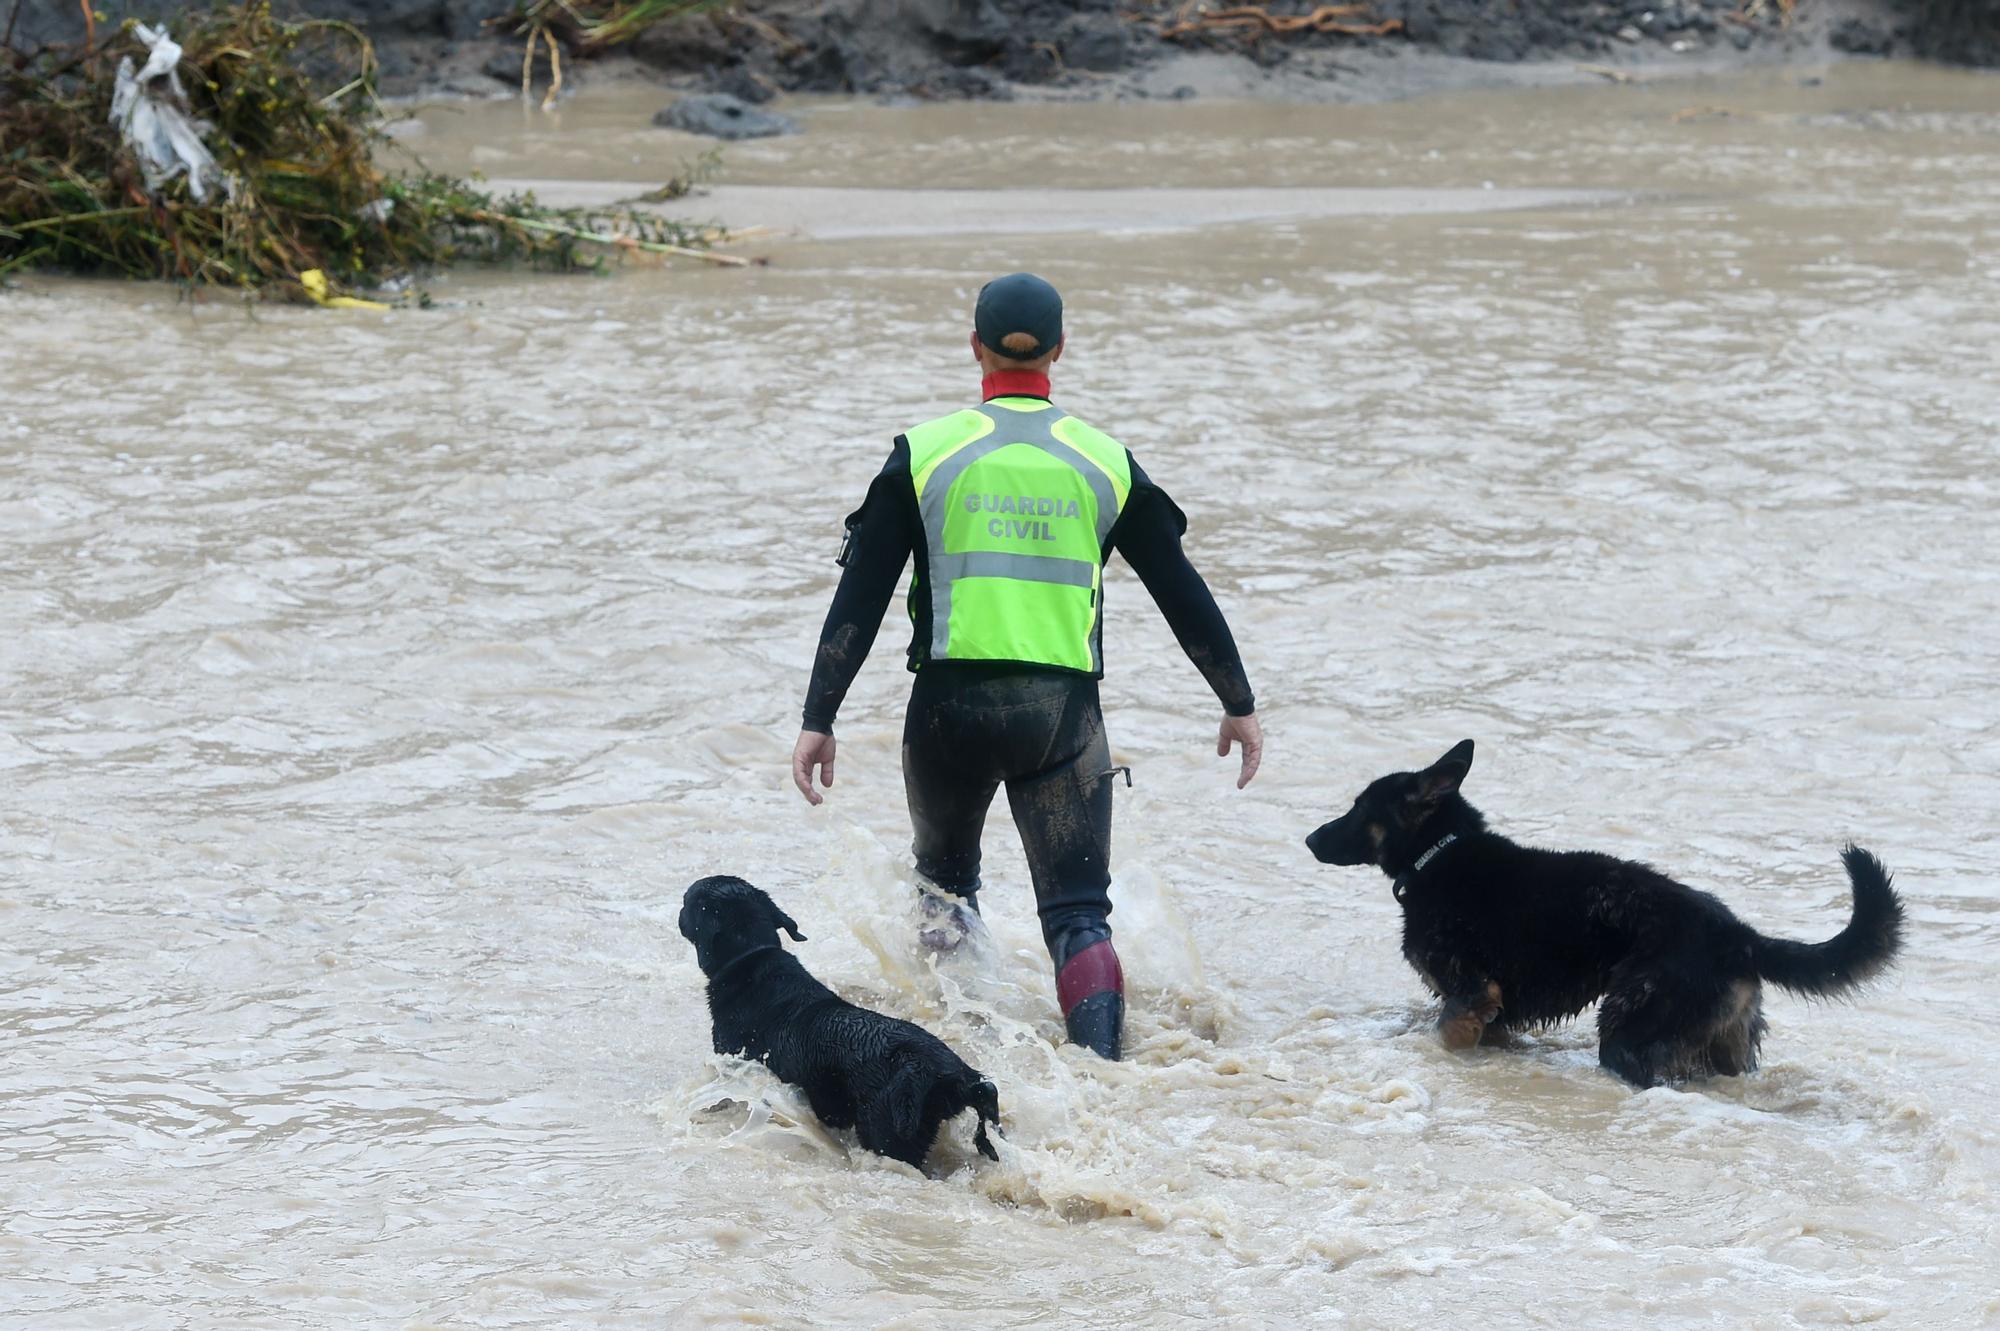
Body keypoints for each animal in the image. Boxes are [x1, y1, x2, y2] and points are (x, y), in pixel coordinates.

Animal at [1312, 739, 1904, 1087]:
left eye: (1359, 809)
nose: (1309, 839)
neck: (1440, 854)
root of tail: (1738, 934)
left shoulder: (1469, 999)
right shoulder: (1491, 1016)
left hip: (1629, 1032)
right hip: (1722, 1046)